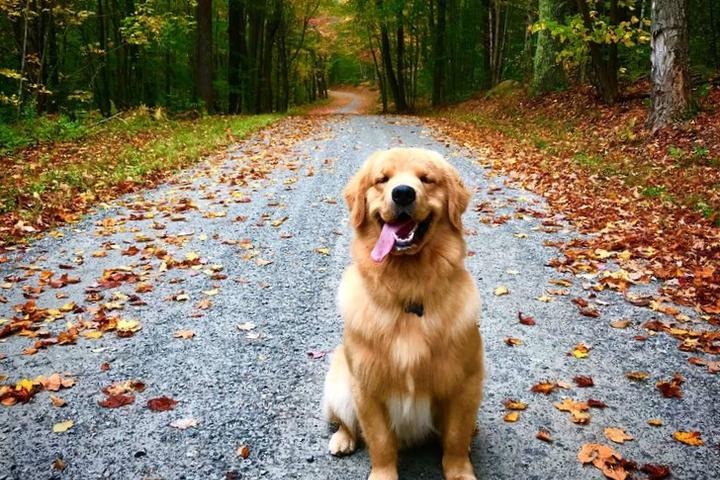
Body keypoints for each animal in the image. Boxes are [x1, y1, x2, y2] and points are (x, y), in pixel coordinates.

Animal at [324, 147, 484, 480]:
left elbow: (455, 437)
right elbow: (380, 440)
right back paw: (342, 439)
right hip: (339, 384)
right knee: (347, 422)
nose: (402, 193)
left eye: (426, 179)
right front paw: (383, 473)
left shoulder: (466, 382)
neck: (409, 288)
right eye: (382, 180)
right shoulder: (366, 386)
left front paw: (460, 470)